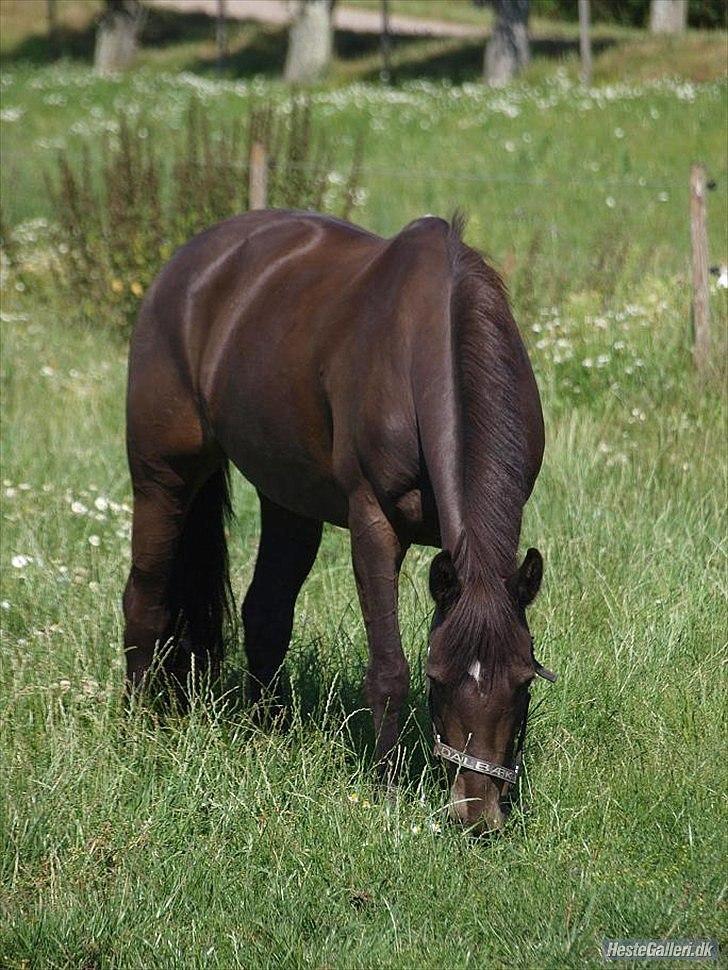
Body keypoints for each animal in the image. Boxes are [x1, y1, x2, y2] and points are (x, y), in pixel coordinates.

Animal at [122, 212, 548, 832]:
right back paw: (137, 727)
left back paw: (267, 731)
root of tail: (186, 266)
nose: (476, 814)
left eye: (522, 682)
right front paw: (387, 789)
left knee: (266, 612)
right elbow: (389, 669)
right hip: (162, 476)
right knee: (145, 600)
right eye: (438, 678)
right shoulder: (374, 524)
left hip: (286, 498)